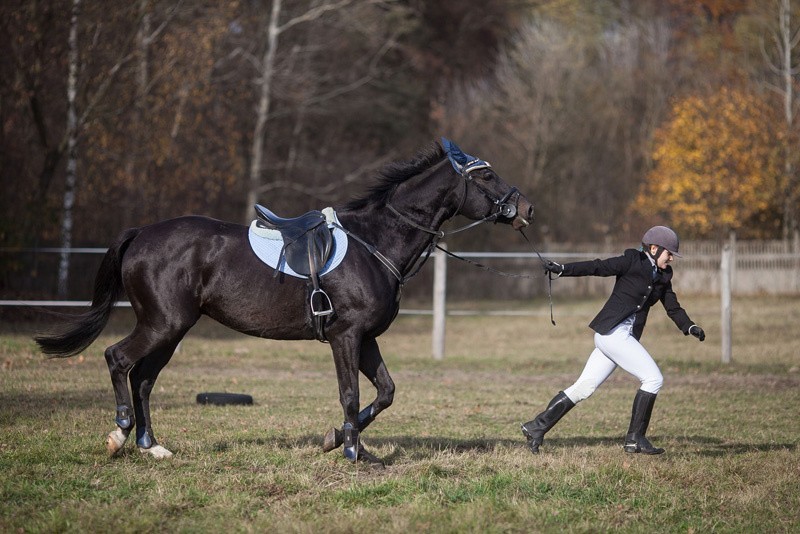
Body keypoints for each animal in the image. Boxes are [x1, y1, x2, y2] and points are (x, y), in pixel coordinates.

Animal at [39, 139, 536, 464]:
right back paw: (120, 435)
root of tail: (141, 233)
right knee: (118, 359)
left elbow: (385, 392)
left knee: (143, 378)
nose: (527, 209)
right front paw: (351, 451)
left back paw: (151, 446)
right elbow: (351, 393)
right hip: (163, 324)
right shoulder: (346, 336)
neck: (375, 241)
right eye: (486, 175)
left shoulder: (366, 338)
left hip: (173, 329)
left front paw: (338, 440)